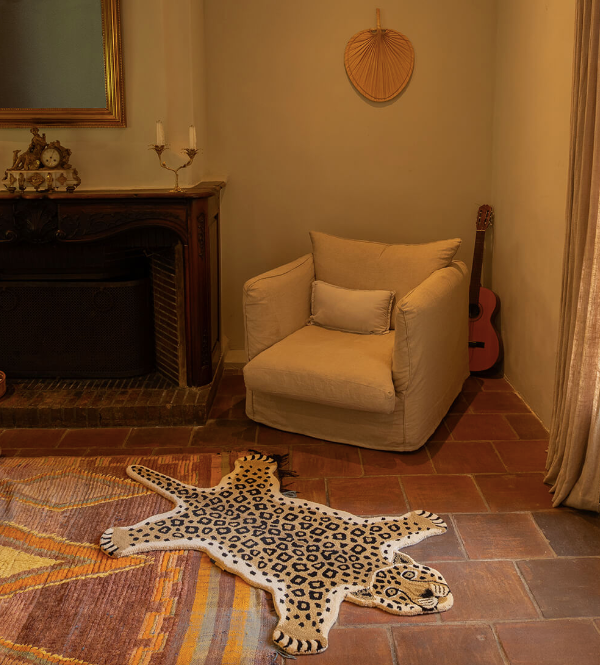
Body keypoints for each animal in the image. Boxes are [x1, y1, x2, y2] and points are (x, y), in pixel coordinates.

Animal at [100, 452, 453, 655]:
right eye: (393, 593)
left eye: (411, 574)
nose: (425, 594)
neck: (364, 565)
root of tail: (206, 496)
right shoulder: (310, 589)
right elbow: (308, 612)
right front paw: (301, 637)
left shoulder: (373, 533)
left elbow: (397, 524)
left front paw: (427, 521)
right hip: (183, 529)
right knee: (147, 531)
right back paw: (117, 537)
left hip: (242, 493)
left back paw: (257, 459)